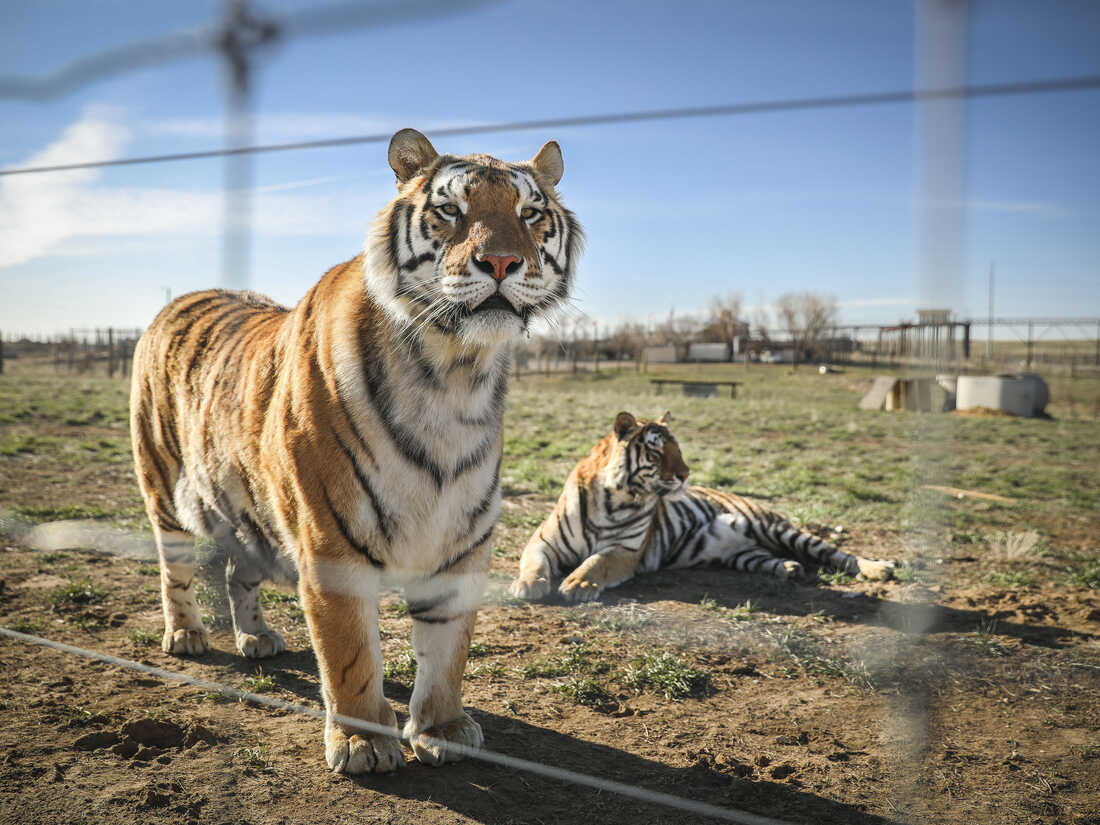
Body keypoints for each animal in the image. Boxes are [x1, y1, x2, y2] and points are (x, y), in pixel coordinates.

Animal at [130, 129, 585, 774]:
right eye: (452, 209)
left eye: (530, 213)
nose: (500, 262)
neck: (454, 373)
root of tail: (179, 298)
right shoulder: (331, 541)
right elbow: (349, 652)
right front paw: (363, 741)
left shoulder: (462, 541)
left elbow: (447, 651)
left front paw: (442, 729)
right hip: (163, 485)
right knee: (176, 568)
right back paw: (186, 636)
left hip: (248, 507)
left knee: (240, 572)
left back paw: (256, 638)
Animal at [510, 411, 897, 602]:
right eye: (656, 452)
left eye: (678, 449)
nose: (685, 474)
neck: (612, 496)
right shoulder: (543, 541)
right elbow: (534, 562)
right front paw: (526, 585)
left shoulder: (626, 550)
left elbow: (596, 562)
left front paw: (578, 584)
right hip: (744, 553)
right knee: (768, 557)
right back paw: (790, 569)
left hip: (777, 527)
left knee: (838, 553)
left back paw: (878, 569)